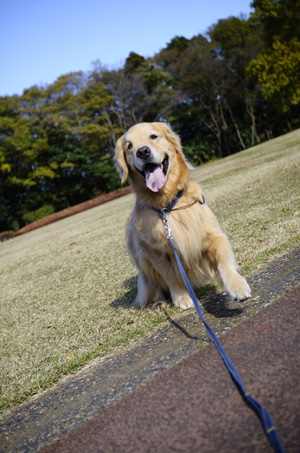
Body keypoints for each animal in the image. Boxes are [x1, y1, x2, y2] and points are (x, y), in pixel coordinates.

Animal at [115, 122, 251, 308]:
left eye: (153, 136)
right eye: (129, 146)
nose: (142, 152)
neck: (167, 204)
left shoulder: (212, 234)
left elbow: (223, 260)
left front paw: (236, 285)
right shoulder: (153, 251)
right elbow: (170, 275)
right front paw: (181, 297)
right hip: (136, 244)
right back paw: (159, 302)